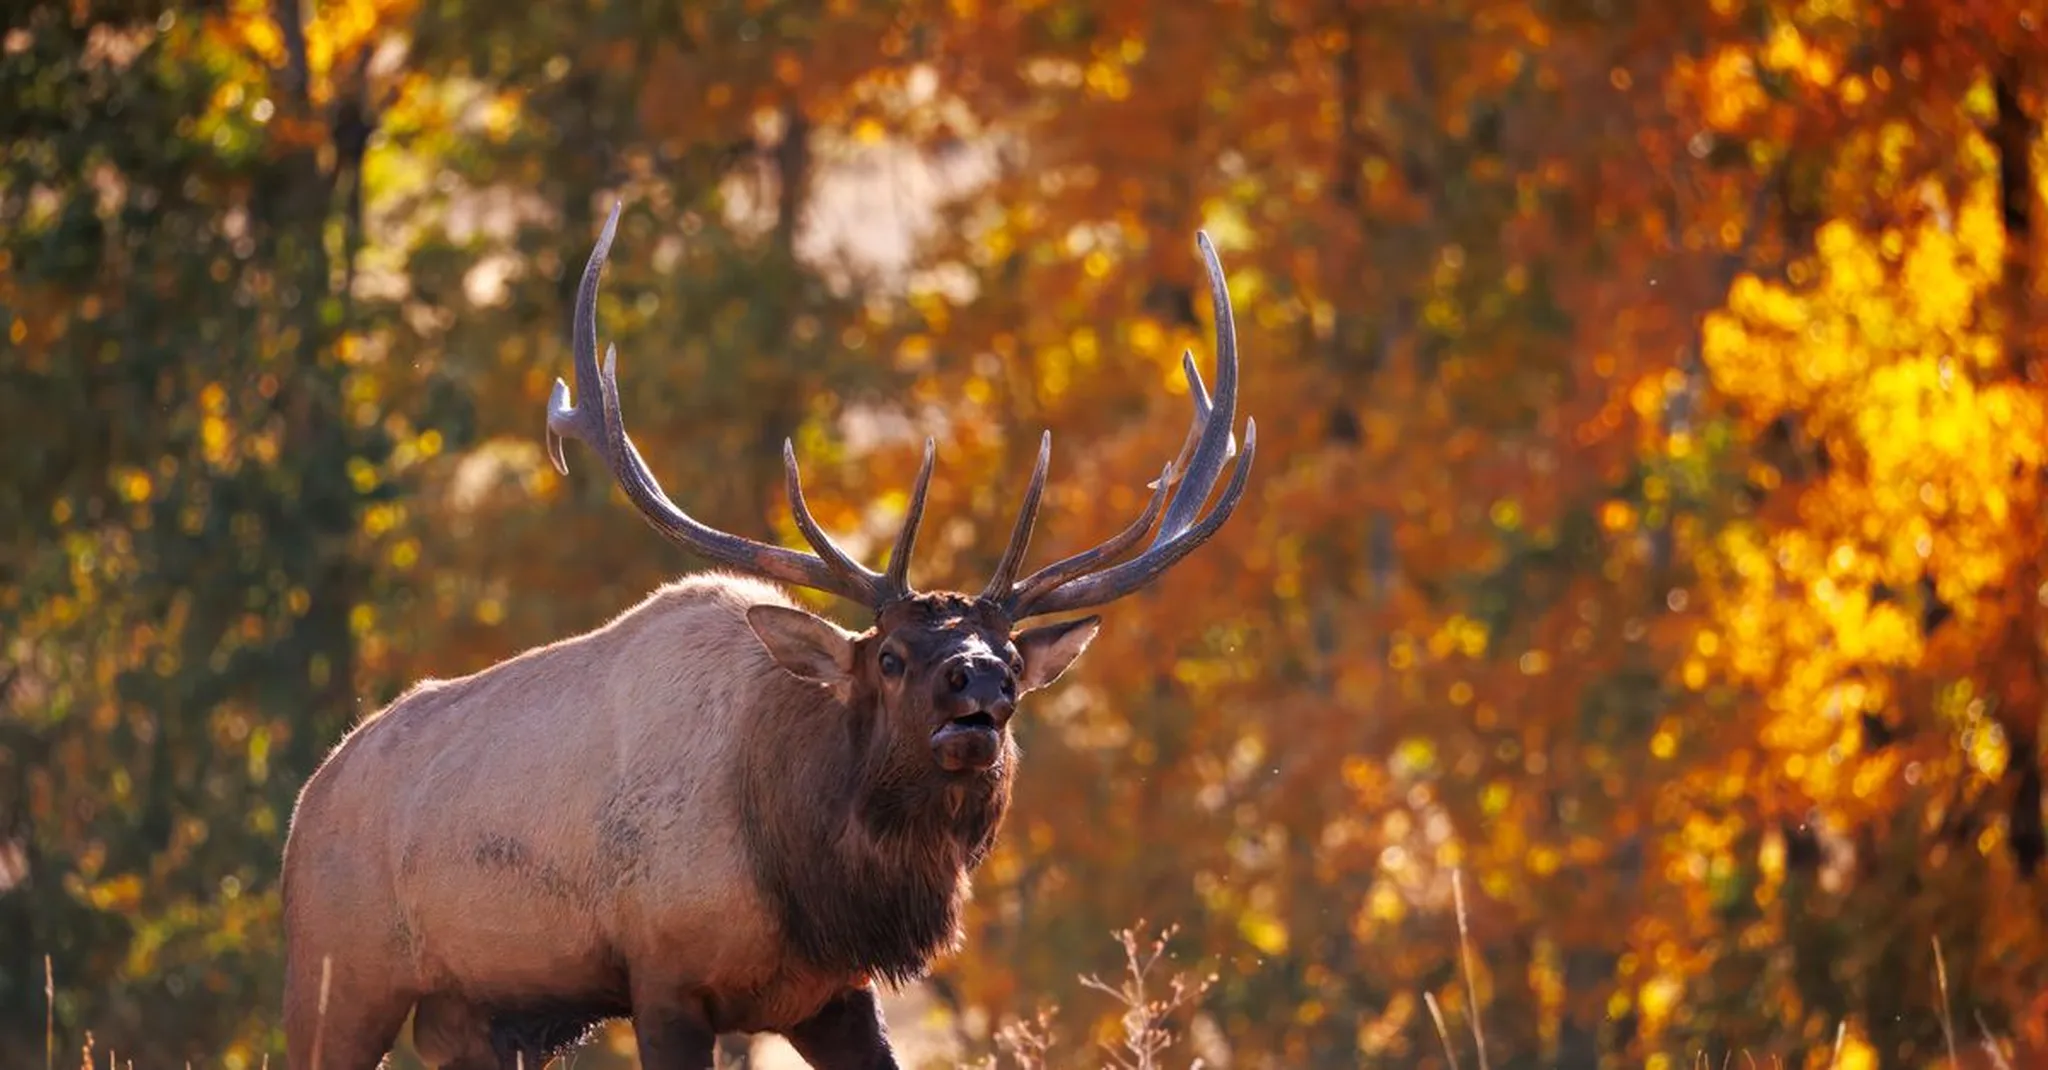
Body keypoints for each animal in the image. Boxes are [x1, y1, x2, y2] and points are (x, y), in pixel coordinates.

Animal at [278, 202, 1255, 1070]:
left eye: (1013, 656)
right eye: (890, 657)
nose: (981, 684)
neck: (805, 875)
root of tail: (310, 796)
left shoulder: (831, 997)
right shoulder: (664, 978)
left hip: (472, 1015)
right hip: (339, 976)